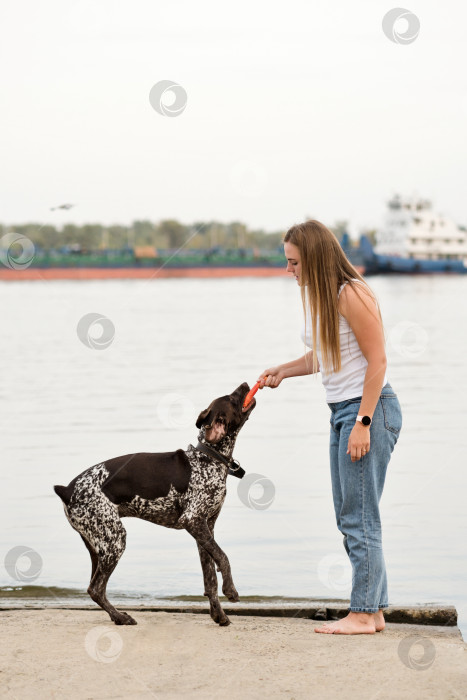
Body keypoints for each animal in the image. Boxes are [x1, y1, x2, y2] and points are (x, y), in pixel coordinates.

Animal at [54, 382, 256, 628]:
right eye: (232, 398)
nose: (246, 384)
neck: (209, 457)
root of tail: (67, 489)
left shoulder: (205, 529)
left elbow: (210, 580)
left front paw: (219, 615)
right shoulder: (193, 521)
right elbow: (224, 558)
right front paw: (231, 590)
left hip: (97, 545)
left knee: (94, 587)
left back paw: (116, 616)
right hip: (114, 541)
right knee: (96, 588)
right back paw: (121, 617)